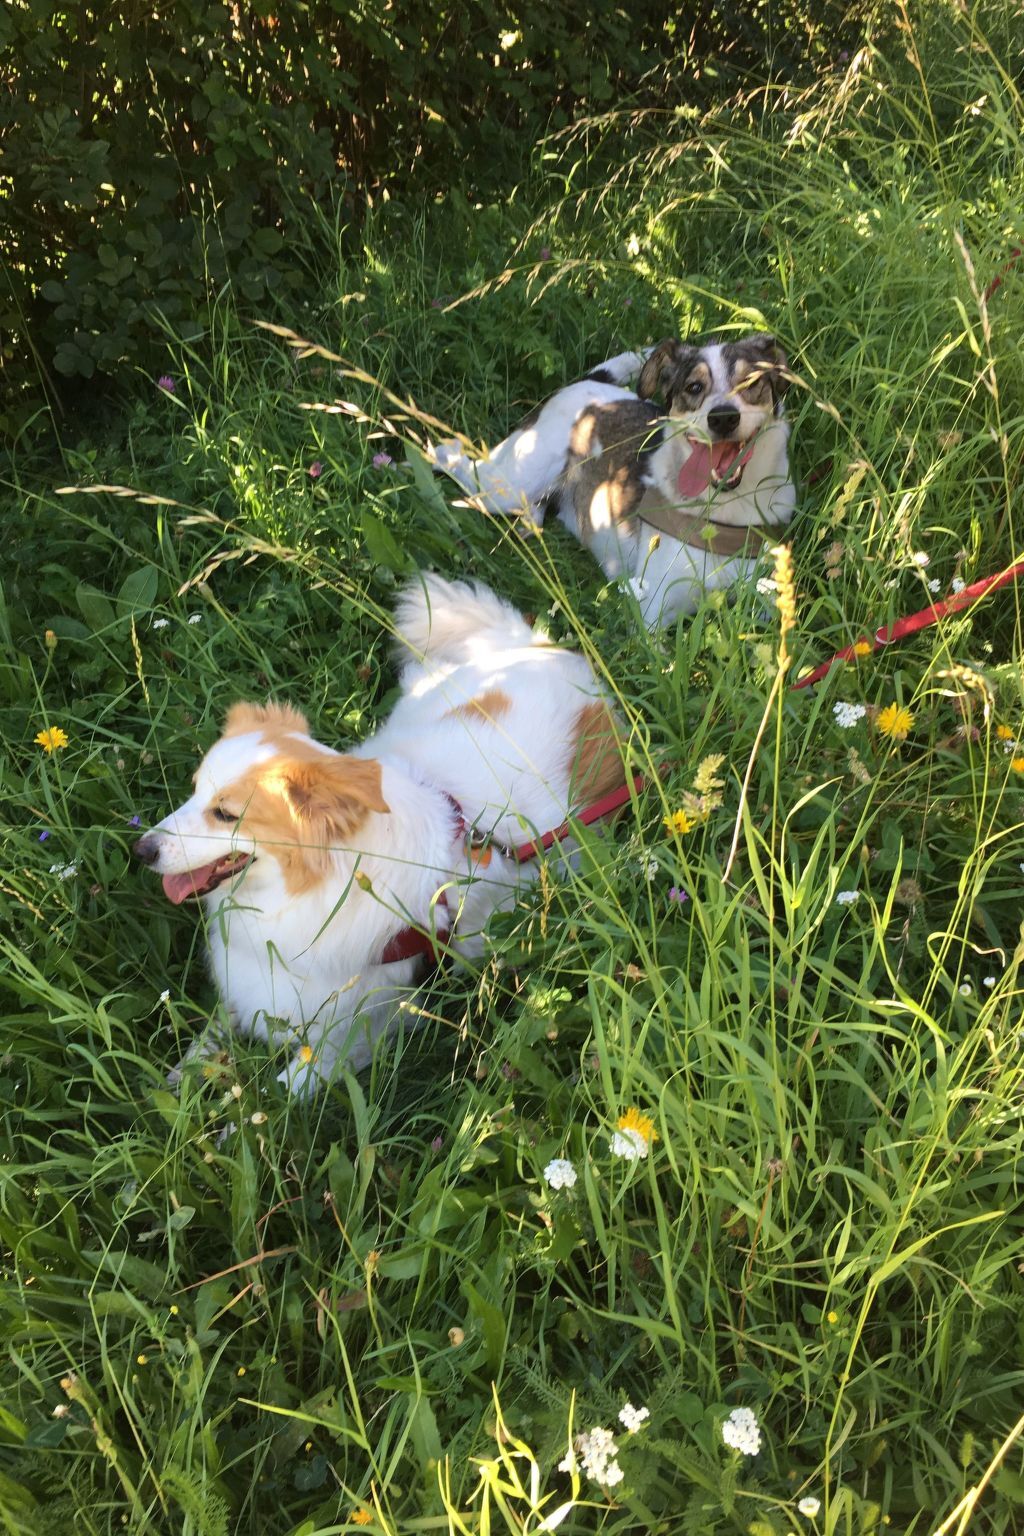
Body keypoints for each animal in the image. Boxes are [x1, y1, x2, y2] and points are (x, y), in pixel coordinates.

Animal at [134, 575, 624, 1094]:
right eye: (194, 791)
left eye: (226, 814)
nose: (141, 849)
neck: (312, 891)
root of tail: (545, 649)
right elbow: (211, 1034)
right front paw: (177, 1080)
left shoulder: (350, 1034)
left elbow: (274, 1097)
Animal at [431, 335, 795, 627]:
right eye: (694, 387)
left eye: (751, 383)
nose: (722, 417)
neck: (726, 509)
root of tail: (585, 385)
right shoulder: (652, 617)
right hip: (508, 481)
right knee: (458, 458)